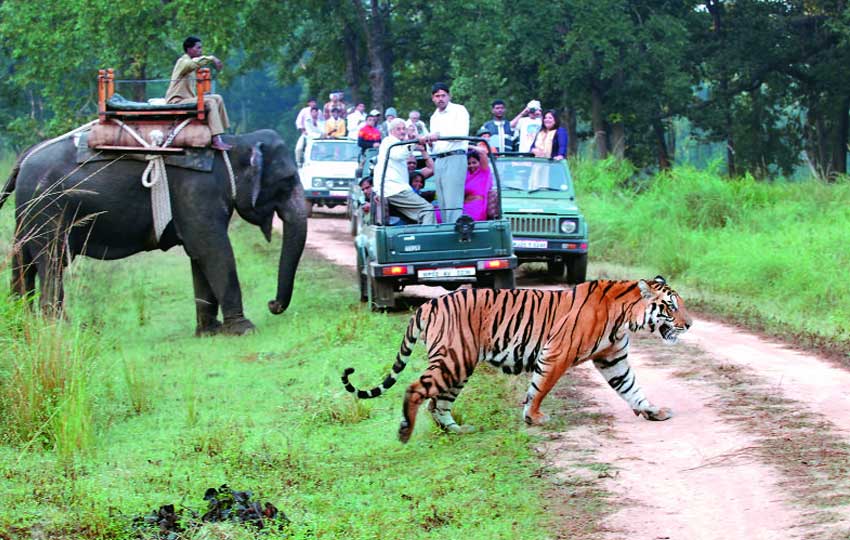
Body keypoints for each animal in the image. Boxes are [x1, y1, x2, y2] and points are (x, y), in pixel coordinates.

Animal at [0, 129, 304, 336]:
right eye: (288, 180)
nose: (272, 304)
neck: (235, 143)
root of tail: (24, 157)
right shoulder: (197, 190)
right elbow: (212, 249)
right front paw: (244, 329)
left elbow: (199, 254)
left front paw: (210, 331)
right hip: (48, 208)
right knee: (52, 260)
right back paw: (60, 329)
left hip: (27, 212)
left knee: (23, 262)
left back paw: (23, 324)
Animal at [338, 276, 688, 446]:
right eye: (670, 307)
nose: (690, 324)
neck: (626, 317)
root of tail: (429, 304)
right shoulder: (556, 353)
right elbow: (541, 387)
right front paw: (534, 417)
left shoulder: (613, 359)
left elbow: (631, 388)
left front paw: (653, 411)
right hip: (455, 359)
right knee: (416, 390)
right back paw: (405, 432)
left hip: (458, 366)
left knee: (437, 403)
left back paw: (457, 431)